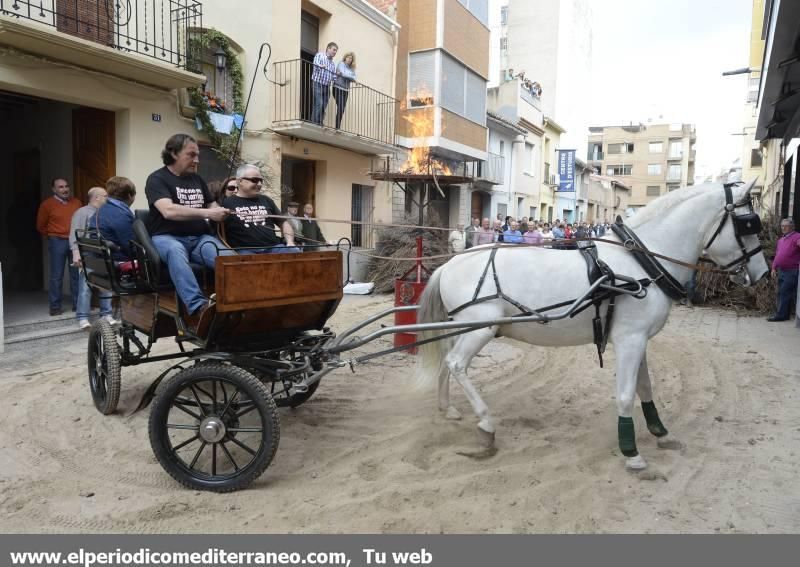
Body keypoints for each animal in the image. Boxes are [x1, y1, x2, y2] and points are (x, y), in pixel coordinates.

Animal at [416, 182, 764, 470]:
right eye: (747, 224)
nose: (762, 273)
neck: (640, 265)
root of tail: (449, 264)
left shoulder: (638, 340)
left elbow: (645, 387)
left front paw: (660, 432)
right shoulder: (629, 340)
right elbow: (625, 394)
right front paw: (631, 452)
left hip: (463, 328)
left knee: (447, 362)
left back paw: (447, 407)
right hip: (480, 329)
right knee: (456, 364)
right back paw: (486, 423)